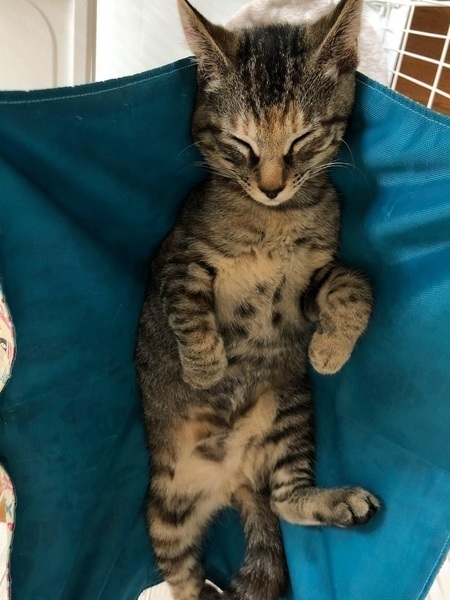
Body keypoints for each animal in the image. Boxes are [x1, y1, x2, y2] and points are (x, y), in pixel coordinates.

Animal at [136, 1, 380, 599]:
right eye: (240, 143)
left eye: (302, 139)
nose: (271, 186)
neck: (274, 219)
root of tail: (234, 479)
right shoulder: (178, 257)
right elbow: (187, 309)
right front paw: (204, 368)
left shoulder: (307, 286)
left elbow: (354, 285)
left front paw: (331, 349)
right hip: (165, 511)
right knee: (184, 579)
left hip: (290, 408)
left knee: (283, 500)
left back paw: (337, 502)